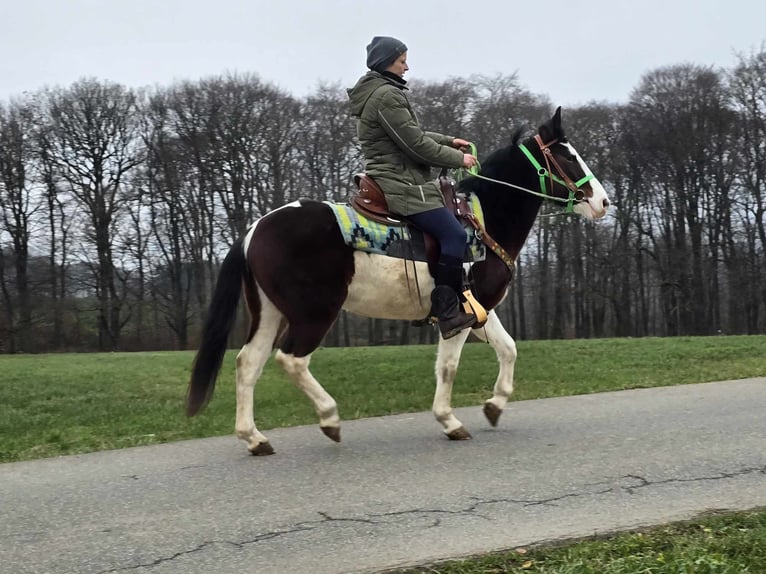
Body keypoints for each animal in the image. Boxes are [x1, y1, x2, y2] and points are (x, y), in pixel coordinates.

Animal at [188, 108, 612, 456]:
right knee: (290, 360)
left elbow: (508, 349)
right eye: (567, 156)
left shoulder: (480, 308)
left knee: (248, 363)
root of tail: (254, 230)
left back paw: (254, 438)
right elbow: (449, 367)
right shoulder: (459, 315)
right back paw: (329, 418)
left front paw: (494, 406)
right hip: (313, 314)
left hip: (270, 313)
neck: (482, 221)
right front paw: (449, 420)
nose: (603, 202)